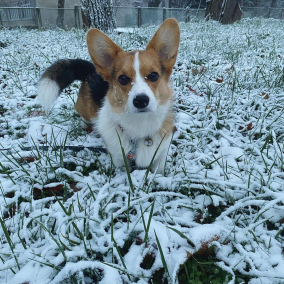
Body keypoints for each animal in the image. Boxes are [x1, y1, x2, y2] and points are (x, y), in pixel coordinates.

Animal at [37, 18, 180, 174]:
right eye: (122, 78)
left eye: (153, 75)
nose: (141, 101)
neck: (140, 125)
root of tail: (91, 70)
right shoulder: (119, 159)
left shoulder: (161, 154)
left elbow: (159, 170)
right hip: (86, 110)